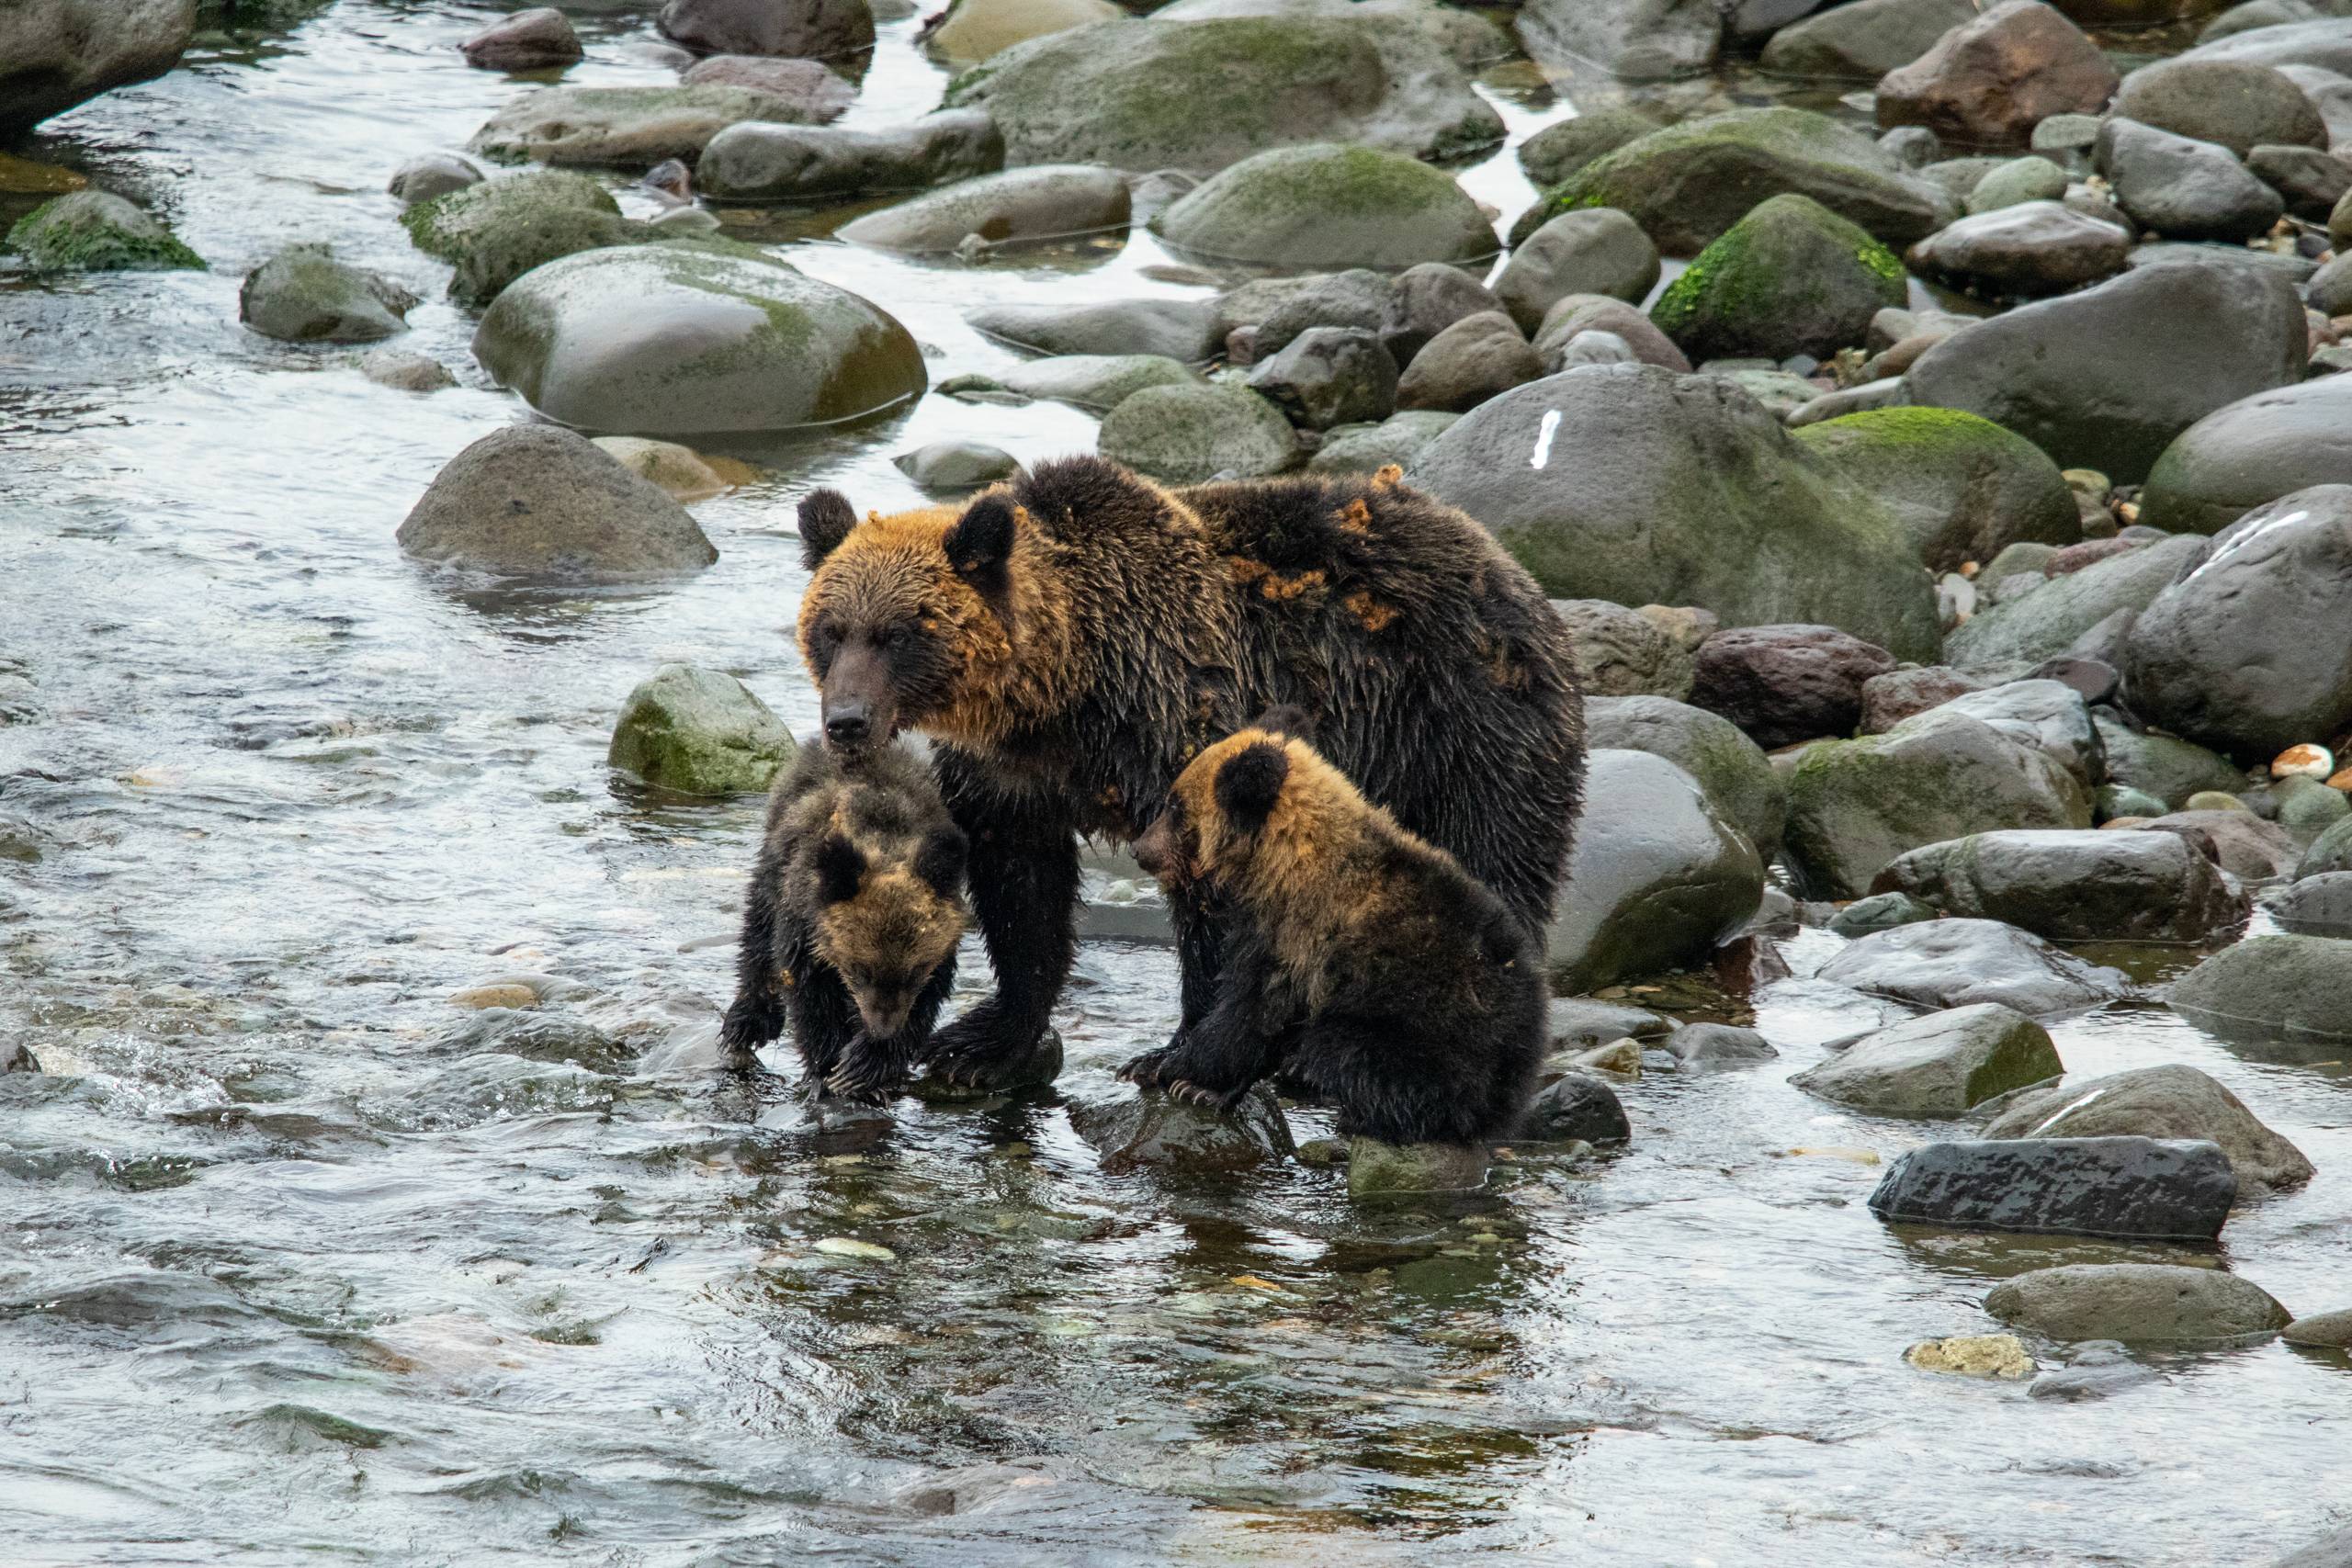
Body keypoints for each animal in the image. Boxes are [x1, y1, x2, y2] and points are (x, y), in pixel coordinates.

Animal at [718, 741, 968, 1100]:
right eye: (860, 969)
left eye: (915, 971)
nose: (881, 1030)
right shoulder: (804, 929)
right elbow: (811, 998)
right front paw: (830, 1072)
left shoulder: (940, 952)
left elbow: (926, 1002)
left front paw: (867, 1065)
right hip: (773, 868)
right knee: (757, 930)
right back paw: (746, 1022)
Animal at [793, 455, 1583, 1091]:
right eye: (830, 628)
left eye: (900, 632)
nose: (848, 721)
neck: (1067, 693)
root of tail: (1513, 567)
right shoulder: (1009, 777)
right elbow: (1022, 893)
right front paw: (977, 1041)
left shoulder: (1184, 723)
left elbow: (1218, 906)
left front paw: (1180, 1057)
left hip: (1465, 733)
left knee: (1495, 865)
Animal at [1124, 713, 1545, 1145]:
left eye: (1174, 805)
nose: (1139, 849)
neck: (1279, 860)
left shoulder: (1294, 933)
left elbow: (1251, 1011)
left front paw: (1183, 1076)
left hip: (1424, 1038)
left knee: (1348, 1054)